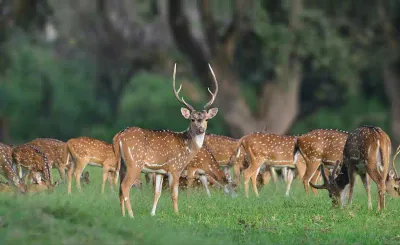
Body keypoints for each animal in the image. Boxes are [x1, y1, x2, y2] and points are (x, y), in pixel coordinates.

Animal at [112, 63, 220, 216]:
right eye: (192, 119)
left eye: (206, 119)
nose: (201, 130)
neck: (187, 149)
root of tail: (118, 136)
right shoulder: (175, 168)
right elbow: (174, 194)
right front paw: (177, 213)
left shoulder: (159, 171)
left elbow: (157, 193)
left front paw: (152, 214)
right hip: (134, 163)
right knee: (125, 186)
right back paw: (131, 216)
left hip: (122, 163)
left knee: (120, 189)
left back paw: (123, 215)